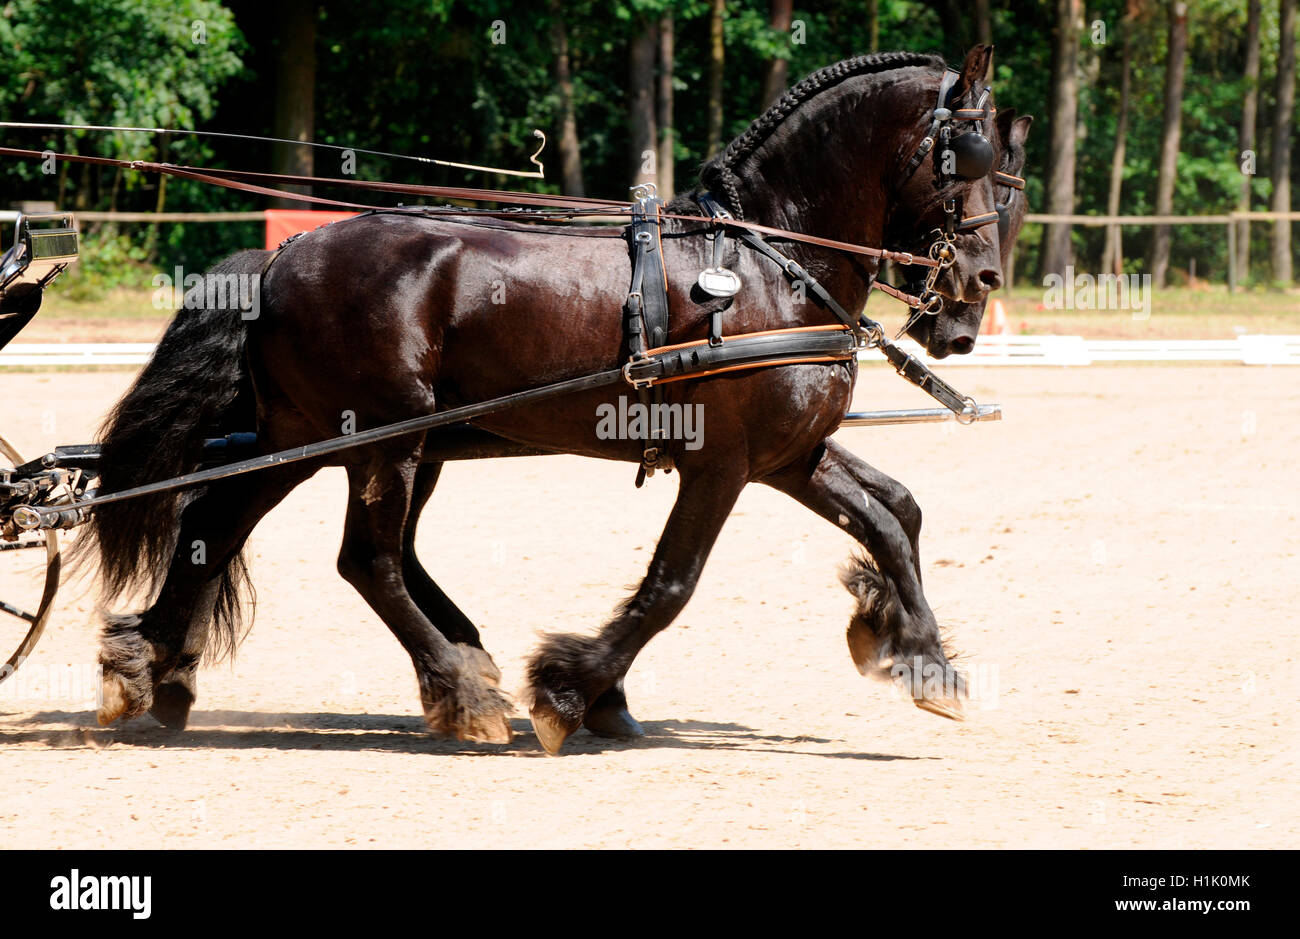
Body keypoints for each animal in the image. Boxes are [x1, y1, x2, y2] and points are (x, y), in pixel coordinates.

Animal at [78, 47, 1008, 753]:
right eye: (970, 158)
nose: (977, 288)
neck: (765, 261)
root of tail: (284, 253)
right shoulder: (724, 463)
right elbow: (672, 584)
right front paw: (570, 691)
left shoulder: (789, 453)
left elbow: (892, 515)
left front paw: (926, 659)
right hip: (382, 438)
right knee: (367, 561)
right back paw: (463, 693)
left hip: (310, 436)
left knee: (217, 525)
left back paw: (152, 673)